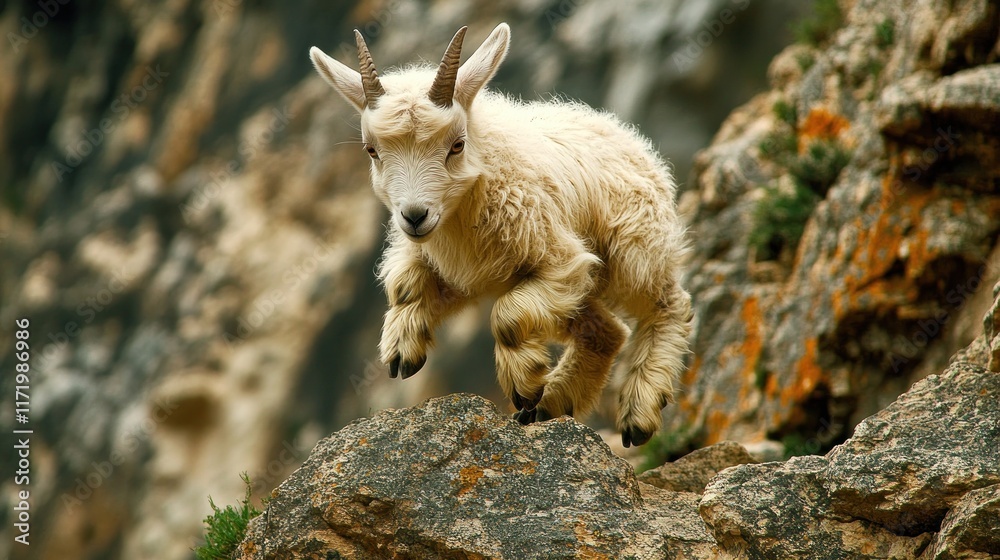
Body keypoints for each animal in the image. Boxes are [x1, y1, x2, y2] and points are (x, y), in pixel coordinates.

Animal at [309, 23, 691, 447]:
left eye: (456, 145)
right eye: (372, 151)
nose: (414, 216)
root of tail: (629, 137)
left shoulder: (561, 262)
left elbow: (507, 319)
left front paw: (524, 386)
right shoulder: (454, 267)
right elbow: (406, 288)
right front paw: (402, 350)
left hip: (634, 248)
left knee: (668, 305)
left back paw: (636, 411)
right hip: (579, 292)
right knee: (607, 331)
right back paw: (553, 403)